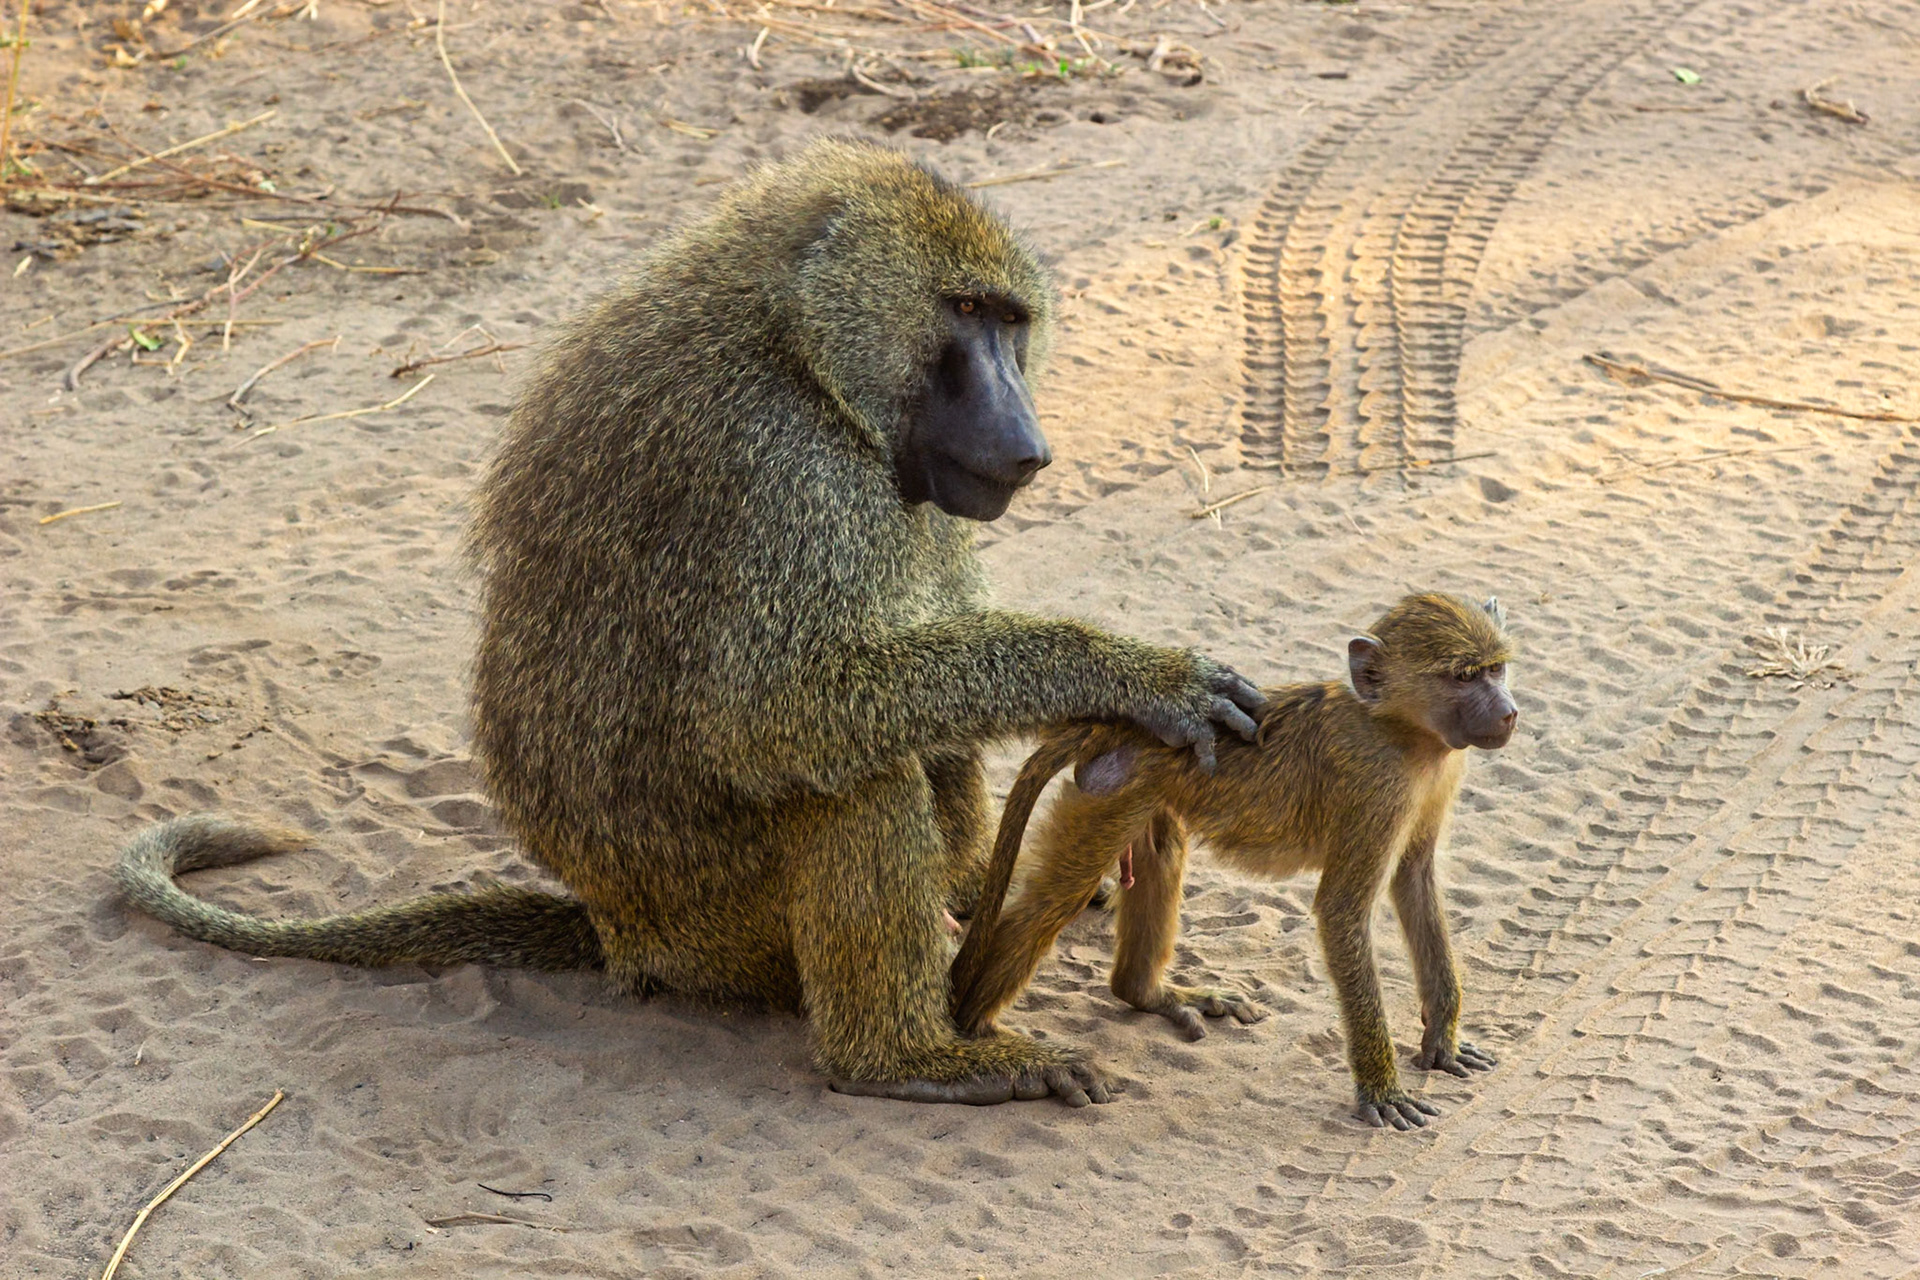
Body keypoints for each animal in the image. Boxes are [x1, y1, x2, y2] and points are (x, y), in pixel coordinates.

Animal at [114, 139, 1270, 1108]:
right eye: (964, 309)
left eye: (1013, 322)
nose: (1028, 444)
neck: (797, 344)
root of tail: (620, 931)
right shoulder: (782, 465)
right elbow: (776, 713)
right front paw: (1132, 676)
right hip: (725, 923)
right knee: (850, 781)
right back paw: (904, 1058)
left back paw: (973, 899)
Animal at [950, 593, 1517, 1129]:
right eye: (1464, 676)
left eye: (1496, 669)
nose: (1509, 712)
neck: (1400, 730)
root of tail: (1114, 728)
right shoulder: (1378, 786)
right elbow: (1342, 910)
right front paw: (1381, 1090)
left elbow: (1415, 880)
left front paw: (1442, 1043)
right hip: (1106, 793)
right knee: (1055, 899)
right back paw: (986, 1038)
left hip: (1137, 792)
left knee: (1160, 852)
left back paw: (1145, 992)